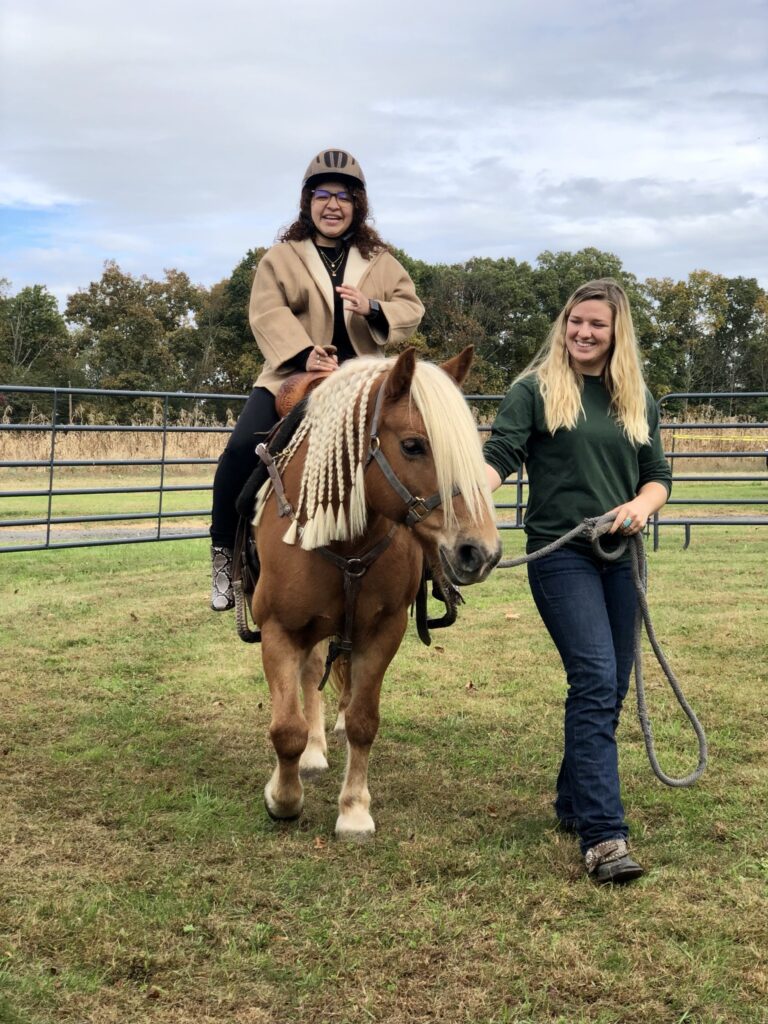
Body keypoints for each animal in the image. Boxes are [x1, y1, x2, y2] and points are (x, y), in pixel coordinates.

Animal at [246, 346, 499, 839]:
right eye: (414, 445)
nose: (481, 552)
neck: (345, 539)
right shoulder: (280, 630)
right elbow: (286, 728)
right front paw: (283, 799)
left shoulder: (384, 632)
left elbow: (364, 721)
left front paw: (354, 811)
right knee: (310, 679)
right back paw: (313, 755)